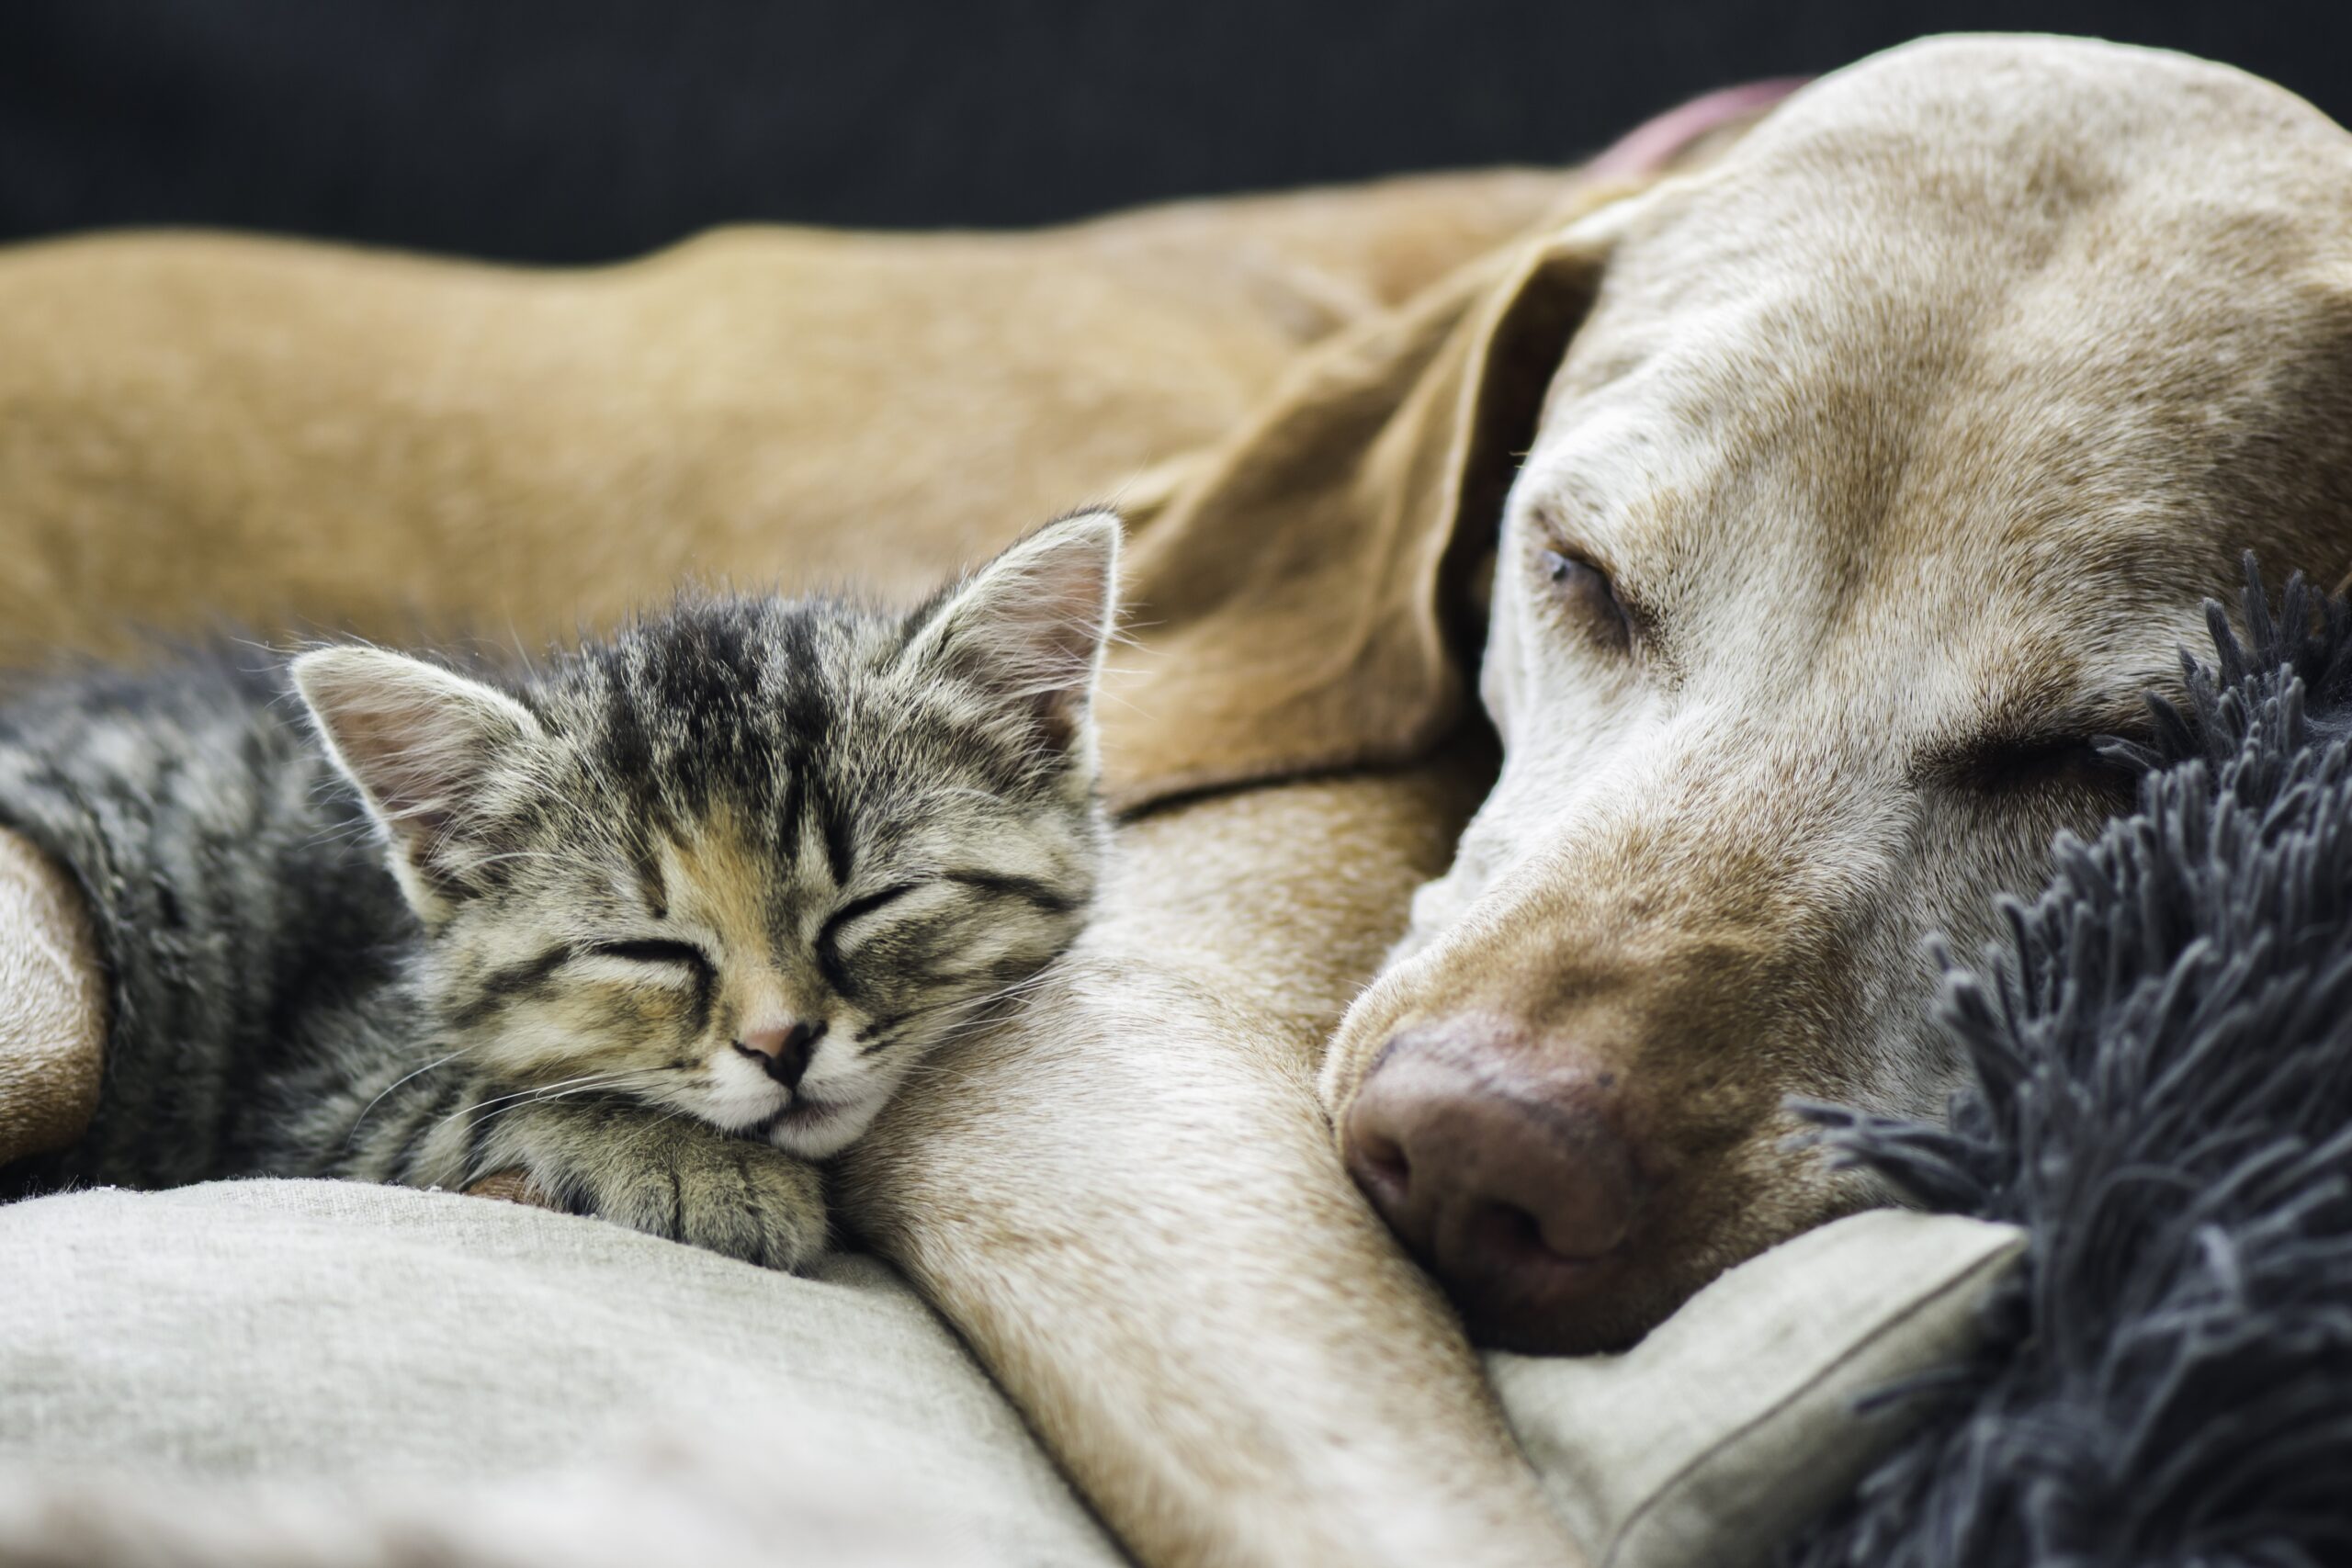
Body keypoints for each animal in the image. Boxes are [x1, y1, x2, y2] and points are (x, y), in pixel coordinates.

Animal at [0, 510, 1119, 1269]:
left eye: (869, 908)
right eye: (647, 950)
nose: (781, 1044)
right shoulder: (316, 1107)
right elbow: (482, 1103)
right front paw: (702, 1165)